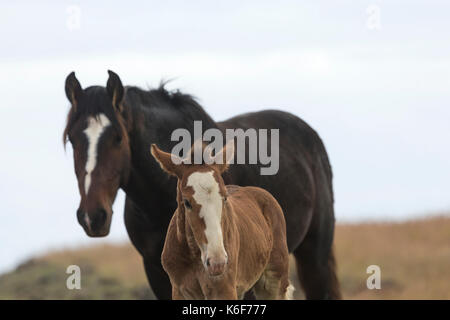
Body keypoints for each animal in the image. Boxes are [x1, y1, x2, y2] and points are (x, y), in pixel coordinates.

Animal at [149, 142, 294, 300]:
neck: (195, 257)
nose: (217, 263)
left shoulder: (224, 289)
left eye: (224, 198)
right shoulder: (179, 291)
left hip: (274, 282)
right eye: (187, 202)